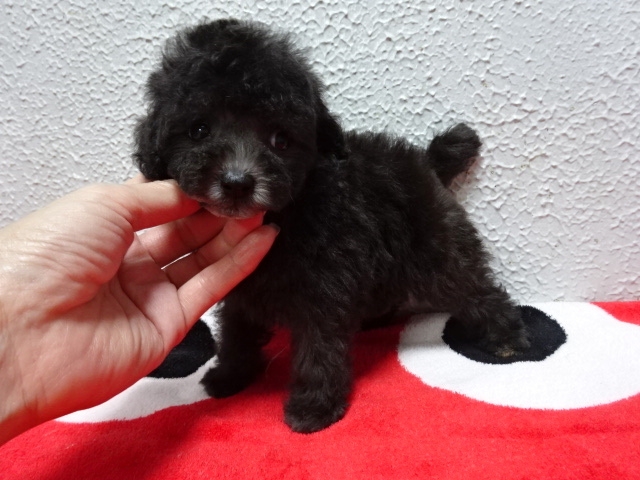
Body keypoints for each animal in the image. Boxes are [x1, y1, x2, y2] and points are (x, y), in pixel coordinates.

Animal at [134, 19, 530, 433]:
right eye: (199, 130)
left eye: (281, 140)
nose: (237, 182)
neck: (285, 216)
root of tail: (425, 160)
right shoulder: (243, 288)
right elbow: (237, 331)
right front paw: (231, 375)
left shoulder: (324, 288)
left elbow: (319, 350)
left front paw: (314, 408)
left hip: (439, 249)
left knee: (476, 289)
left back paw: (506, 338)